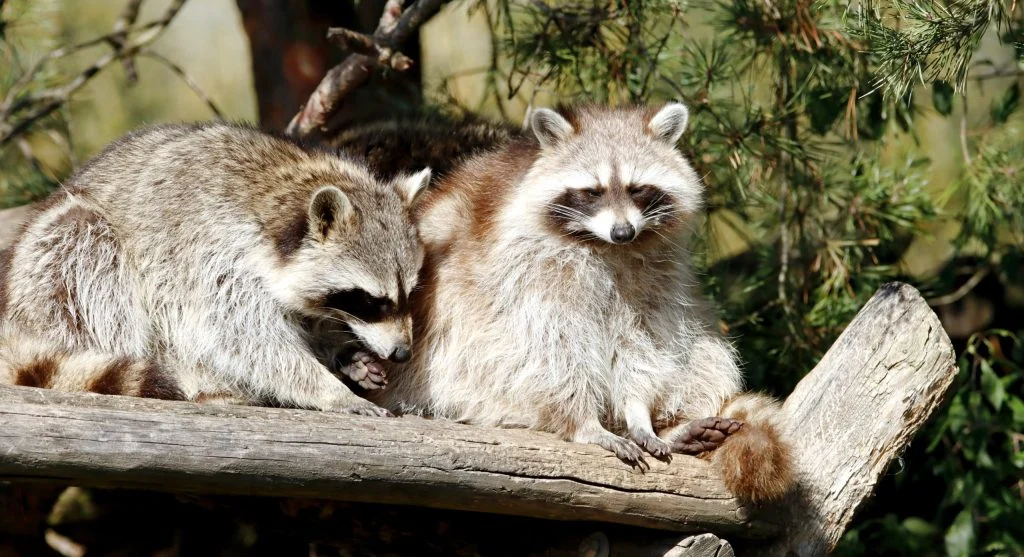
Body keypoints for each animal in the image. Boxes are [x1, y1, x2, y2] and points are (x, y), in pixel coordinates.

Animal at [0, 122, 430, 415]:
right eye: (372, 301)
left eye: (408, 294)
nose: (402, 353)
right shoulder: (211, 250)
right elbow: (240, 336)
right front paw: (327, 388)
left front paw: (343, 353)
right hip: (46, 274)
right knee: (88, 248)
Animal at [360, 104, 793, 502]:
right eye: (592, 192)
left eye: (637, 188)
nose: (623, 231)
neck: (606, 248)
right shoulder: (526, 275)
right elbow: (550, 350)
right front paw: (586, 423)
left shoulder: (655, 280)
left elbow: (642, 343)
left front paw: (639, 413)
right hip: (448, 373)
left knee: (704, 350)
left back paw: (674, 426)